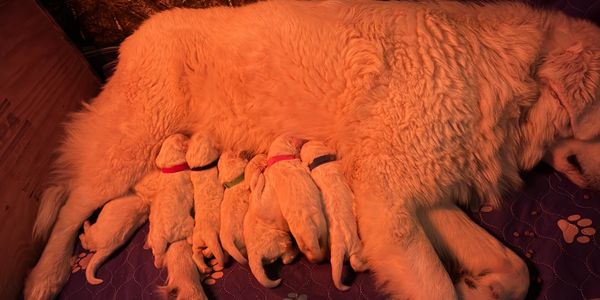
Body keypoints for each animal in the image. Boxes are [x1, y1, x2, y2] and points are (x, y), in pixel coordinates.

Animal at [186, 132, 226, 272]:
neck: (201, 167)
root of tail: (207, 234)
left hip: (197, 240)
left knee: (195, 254)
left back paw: (205, 267)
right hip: (215, 236)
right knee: (211, 250)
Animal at [244, 155, 300, 288]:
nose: (264, 157)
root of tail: (254, 256)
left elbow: (255, 181)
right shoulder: (258, 201)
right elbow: (258, 183)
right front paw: (260, 172)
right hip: (283, 240)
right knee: (287, 258)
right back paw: (297, 250)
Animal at [298, 141, 368, 290]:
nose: (304, 141)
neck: (318, 162)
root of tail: (339, 247)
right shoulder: (338, 166)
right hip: (355, 246)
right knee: (356, 262)